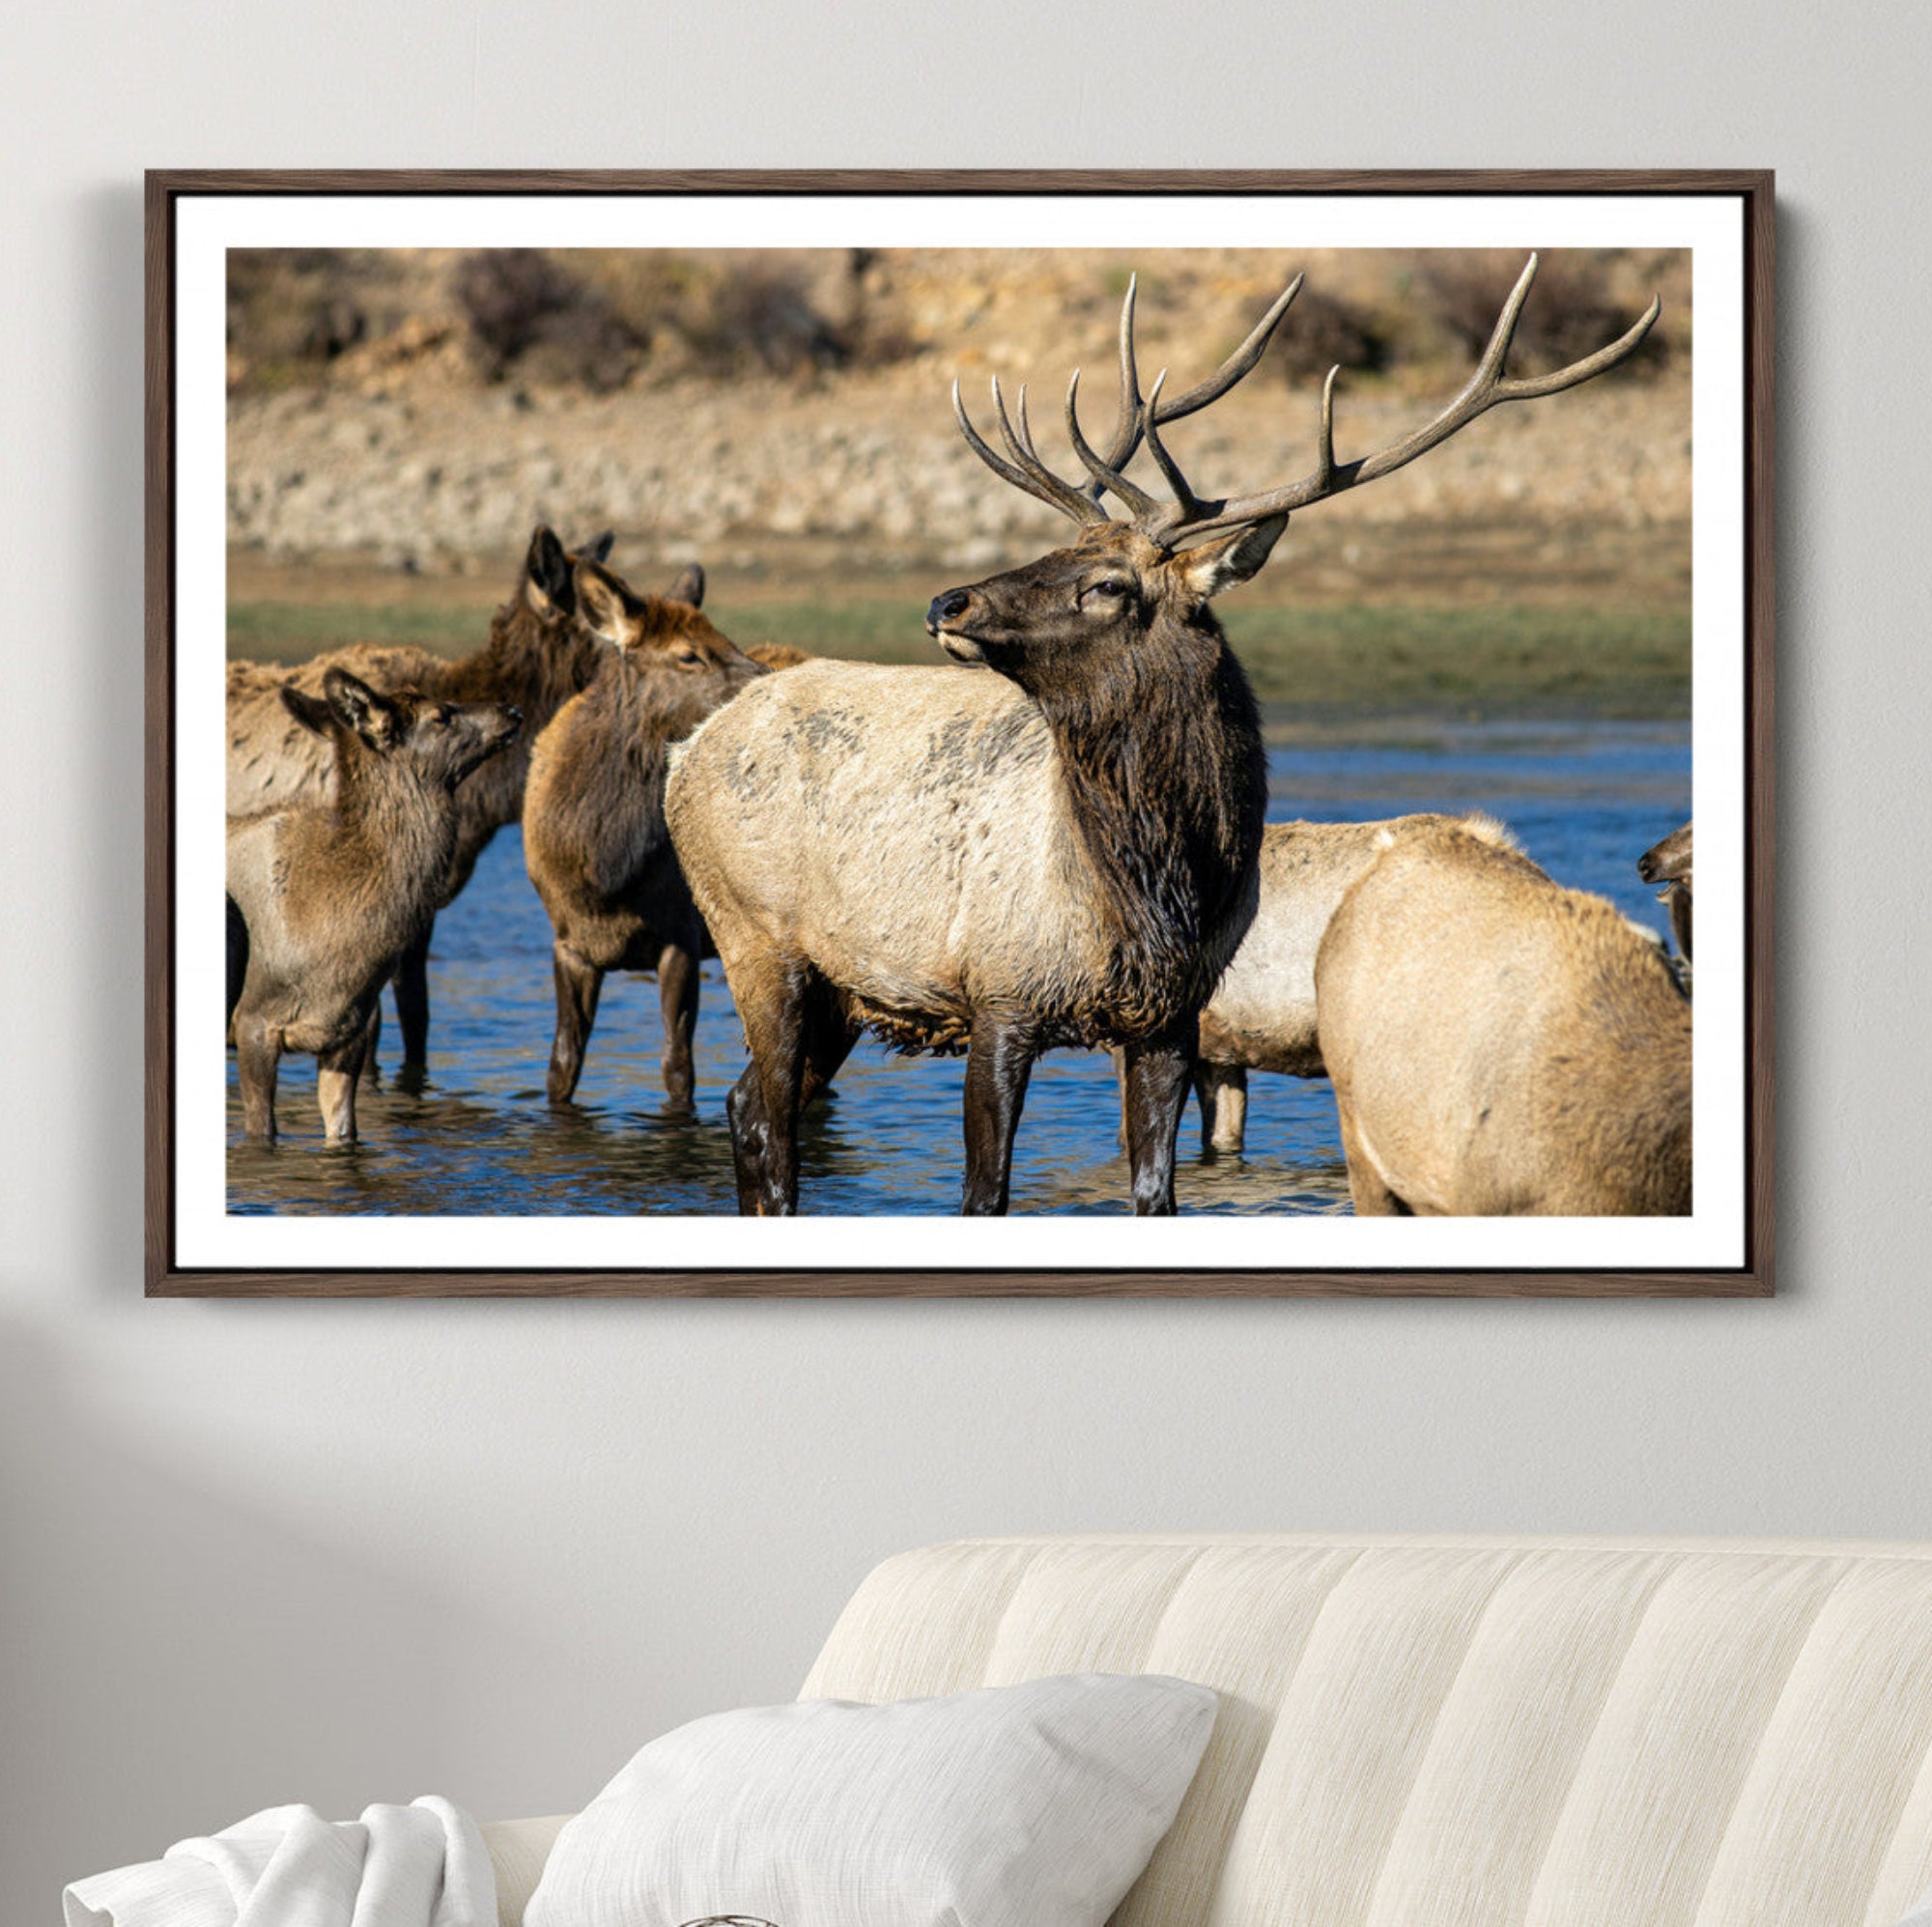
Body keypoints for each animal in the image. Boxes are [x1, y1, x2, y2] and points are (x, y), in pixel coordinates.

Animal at [226, 669, 521, 1144]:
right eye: (441, 715)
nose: (512, 710)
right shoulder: (253, 1022)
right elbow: (261, 1133)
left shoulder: (348, 1032)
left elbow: (345, 1132)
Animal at [522, 556, 767, 1108]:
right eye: (688, 655)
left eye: (728, 640)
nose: (769, 679)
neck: (606, 871)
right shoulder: (567, 943)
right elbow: (560, 1067)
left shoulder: (682, 936)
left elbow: (678, 1069)